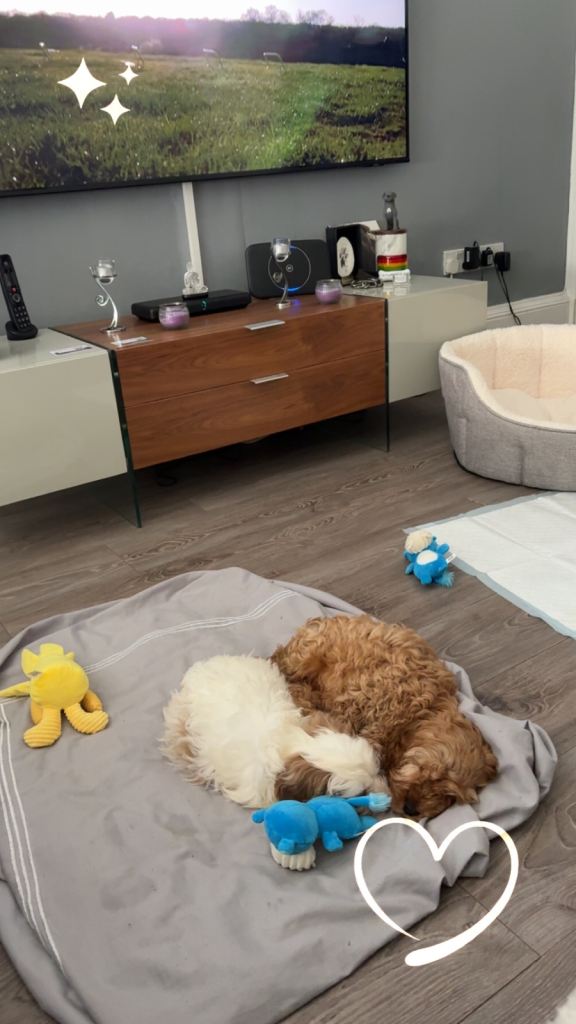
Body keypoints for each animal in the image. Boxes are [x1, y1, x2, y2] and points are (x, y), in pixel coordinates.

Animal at [162, 654, 387, 808]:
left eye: (379, 771)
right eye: (362, 794)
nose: (387, 795)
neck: (289, 742)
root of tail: (199, 669)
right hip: (180, 725)